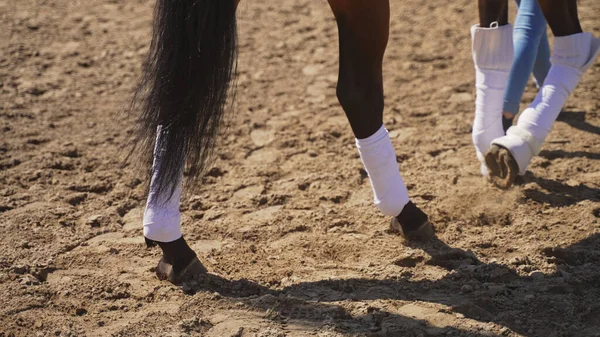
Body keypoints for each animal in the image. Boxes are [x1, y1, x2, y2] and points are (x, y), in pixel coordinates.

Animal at [129, 0, 596, 284]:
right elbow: (569, 44)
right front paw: (513, 145)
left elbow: (494, 42)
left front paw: (492, 142)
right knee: (359, 92)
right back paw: (407, 212)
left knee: (179, 94)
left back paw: (170, 241)